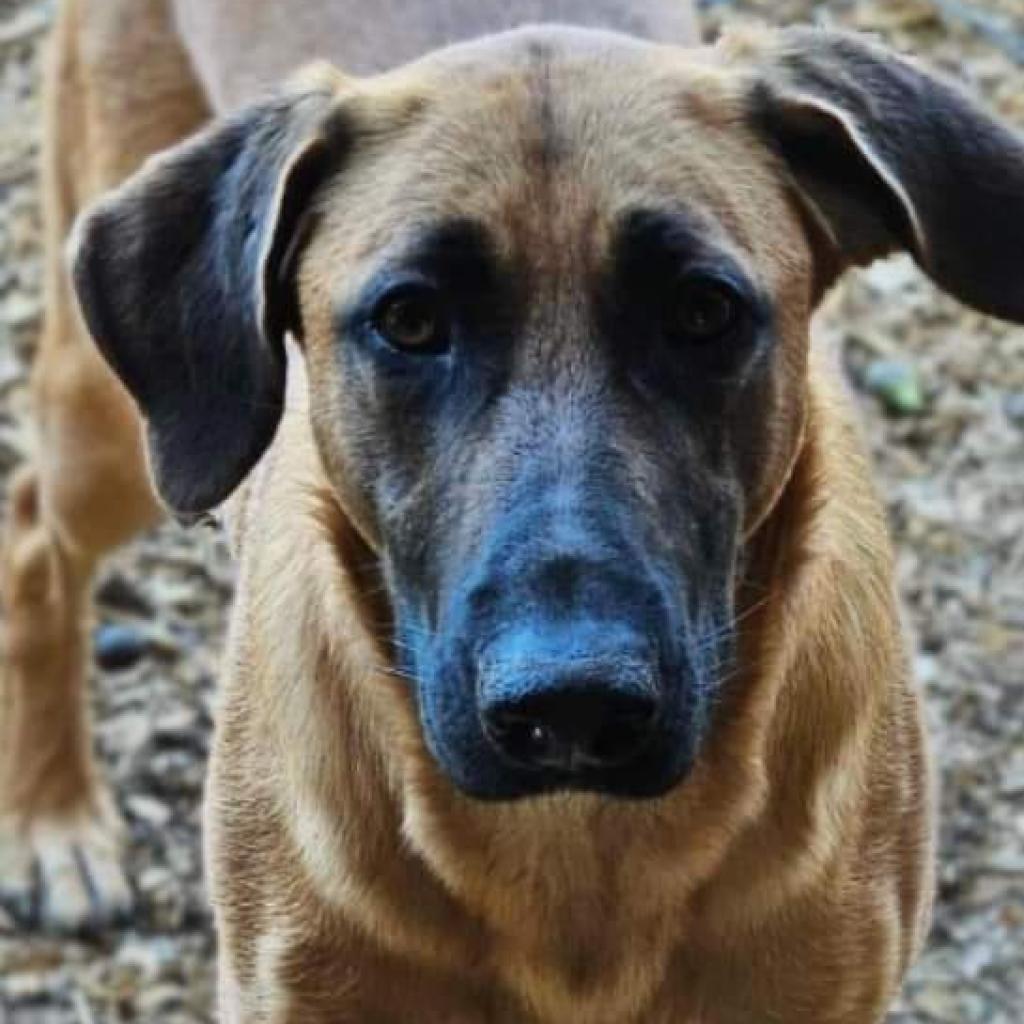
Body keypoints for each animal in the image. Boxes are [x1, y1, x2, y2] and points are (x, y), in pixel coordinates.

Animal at [2, 0, 1024, 1019]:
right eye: (409, 320)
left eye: (703, 310)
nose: (570, 706)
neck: (579, 852)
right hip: (108, 433)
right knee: (30, 536)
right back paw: (54, 824)